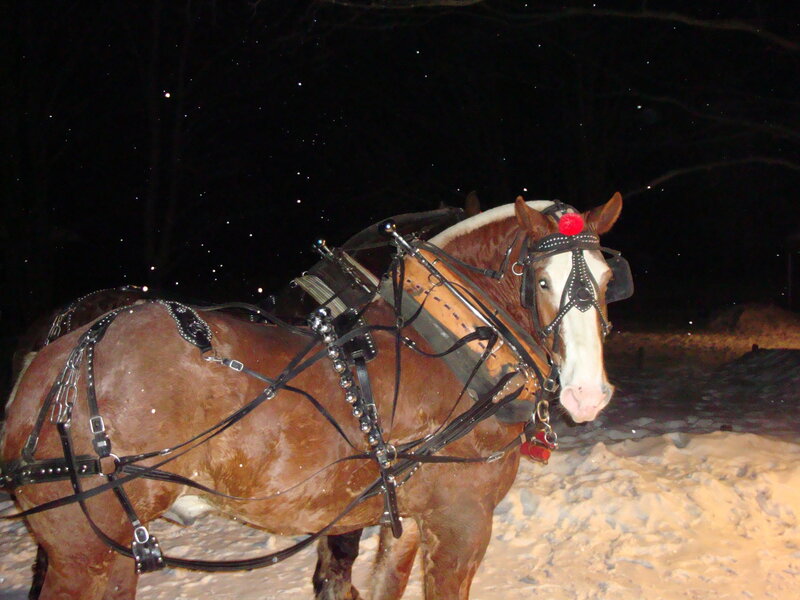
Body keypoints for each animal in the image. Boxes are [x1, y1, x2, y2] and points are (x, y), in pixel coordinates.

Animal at [1, 194, 624, 600]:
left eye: (607, 278)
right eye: (541, 280)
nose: (588, 394)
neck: (448, 336)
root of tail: (57, 358)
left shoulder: (408, 518)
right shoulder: (461, 520)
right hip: (86, 553)